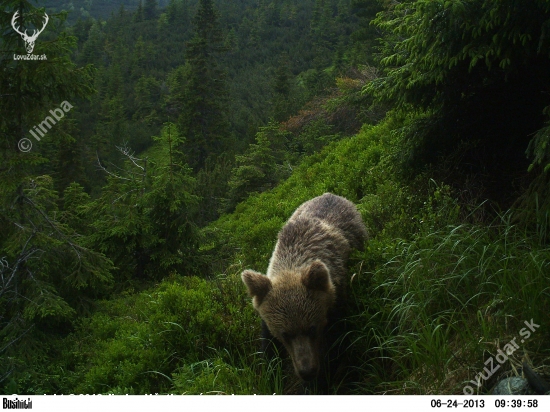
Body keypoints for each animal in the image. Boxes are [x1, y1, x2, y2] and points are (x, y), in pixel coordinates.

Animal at [243, 193, 368, 384]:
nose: (307, 371)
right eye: (285, 334)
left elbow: (338, 341)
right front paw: (272, 373)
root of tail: (331, 194)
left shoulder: (336, 301)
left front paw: (329, 375)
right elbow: (269, 346)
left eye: (312, 328)